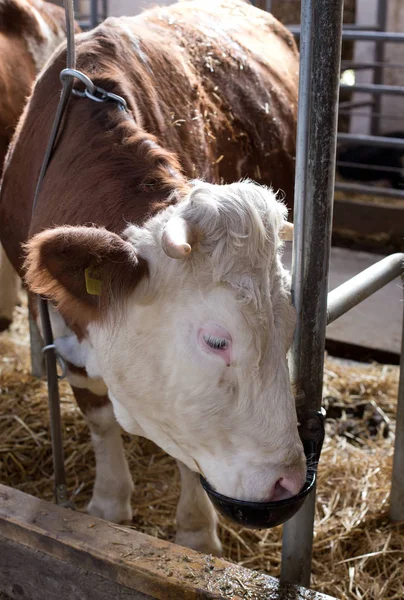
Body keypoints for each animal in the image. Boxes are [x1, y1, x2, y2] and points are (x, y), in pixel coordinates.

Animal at [0, 0, 304, 556]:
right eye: (215, 340)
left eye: (288, 329)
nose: (288, 483)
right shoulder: (55, 312)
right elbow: (97, 413)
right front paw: (108, 503)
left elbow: (185, 452)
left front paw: (196, 531)